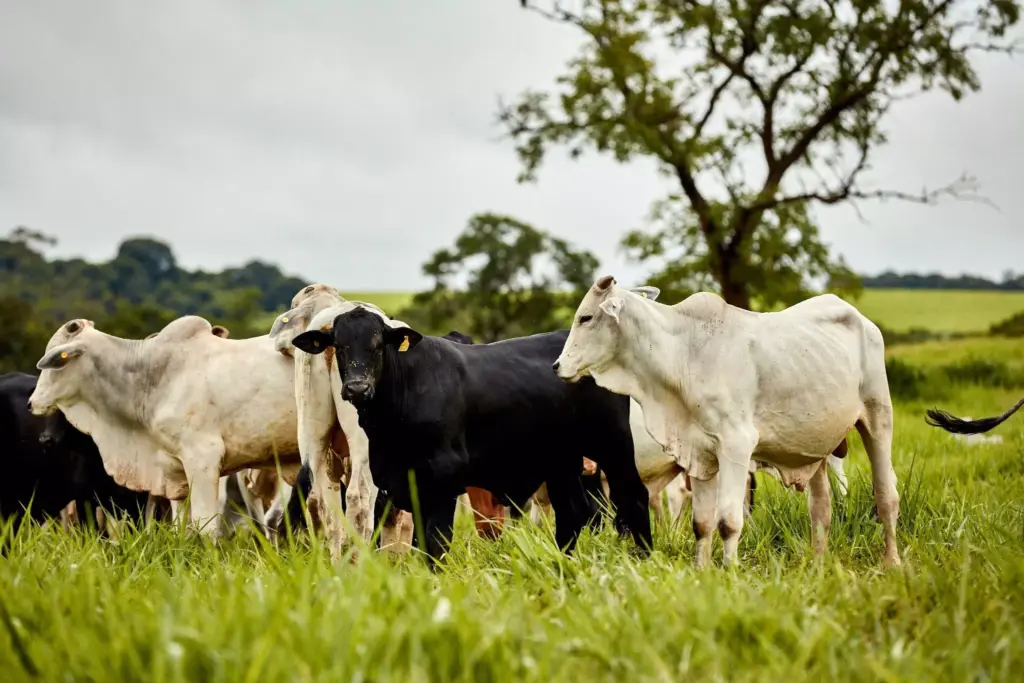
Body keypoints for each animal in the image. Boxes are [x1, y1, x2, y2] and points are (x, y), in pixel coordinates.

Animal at [26, 317, 302, 537]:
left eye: (56, 361)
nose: (31, 403)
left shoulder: (203, 458)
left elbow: (205, 526)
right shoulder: (174, 472)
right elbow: (181, 526)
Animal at [290, 305, 653, 563]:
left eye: (378, 344)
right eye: (339, 346)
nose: (357, 388)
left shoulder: (441, 482)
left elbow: (435, 544)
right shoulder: (395, 483)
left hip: (613, 443)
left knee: (633, 496)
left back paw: (643, 557)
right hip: (561, 461)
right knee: (572, 515)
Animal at [553, 275, 899, 568]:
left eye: (586, 318)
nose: (557, 366)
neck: (683, 354)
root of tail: (861, 319)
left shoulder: (736, 446)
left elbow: (729, 521)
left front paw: (729, 571)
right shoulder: (699, 453)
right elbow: (702, 523)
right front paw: (702, 570)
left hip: (878, 419)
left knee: (886, 497)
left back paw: (891, 562)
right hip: (818, 447)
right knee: (821, 509)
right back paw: (816, 565)